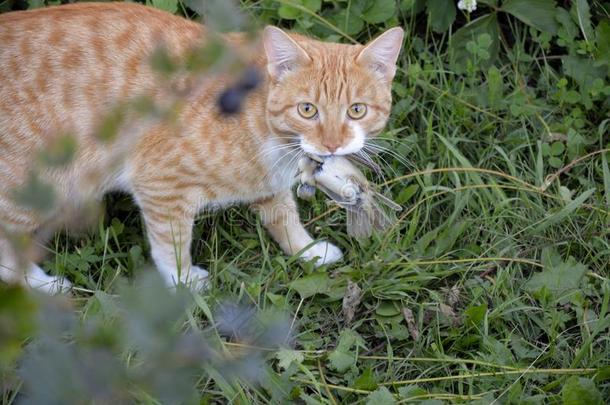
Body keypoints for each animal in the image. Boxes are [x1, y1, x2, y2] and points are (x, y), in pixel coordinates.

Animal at [1, 0, 404, 290]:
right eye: (308, 109)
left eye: (356, 110)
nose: (333, 145)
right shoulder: (159, 185)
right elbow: (171, 243)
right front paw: (183, 283)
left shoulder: (268, 184)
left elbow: (284, 216)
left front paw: (308, 251)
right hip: (40, 188)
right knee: (7, 257)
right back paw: (44, 286)